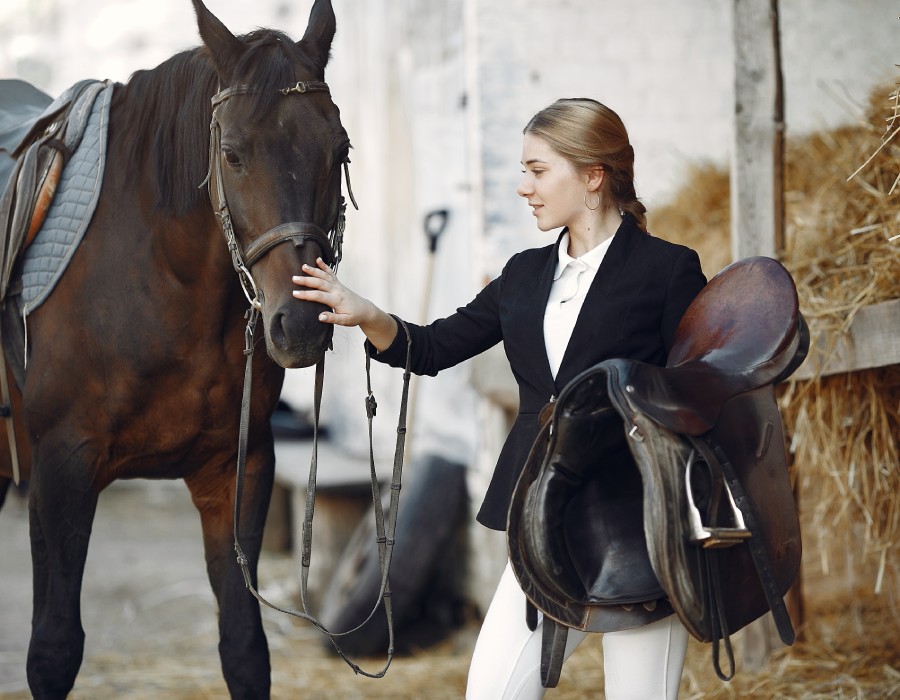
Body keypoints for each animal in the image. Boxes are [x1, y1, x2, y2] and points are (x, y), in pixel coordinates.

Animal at [0, 0, 351, 696]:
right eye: (233, 155)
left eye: (339, 149)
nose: (299, 325)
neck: (160, 278)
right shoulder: (61, 471)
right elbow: (53, 650)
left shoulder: (236, 469)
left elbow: (244, 648)